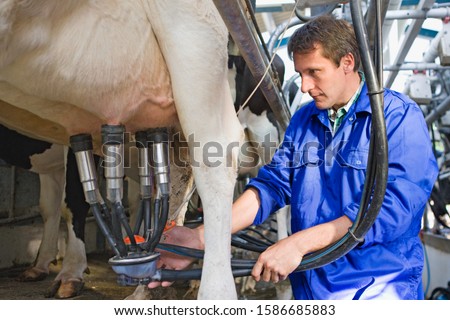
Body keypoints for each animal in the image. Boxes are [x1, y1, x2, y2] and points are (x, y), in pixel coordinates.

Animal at [0, 0, 244, 300]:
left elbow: (73, 202)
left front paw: (70, 273)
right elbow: (50, 207)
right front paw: (41, 264)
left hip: (195, 41)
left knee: (216, 160)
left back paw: (211, 290)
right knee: (178, 181)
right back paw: (150, 285)